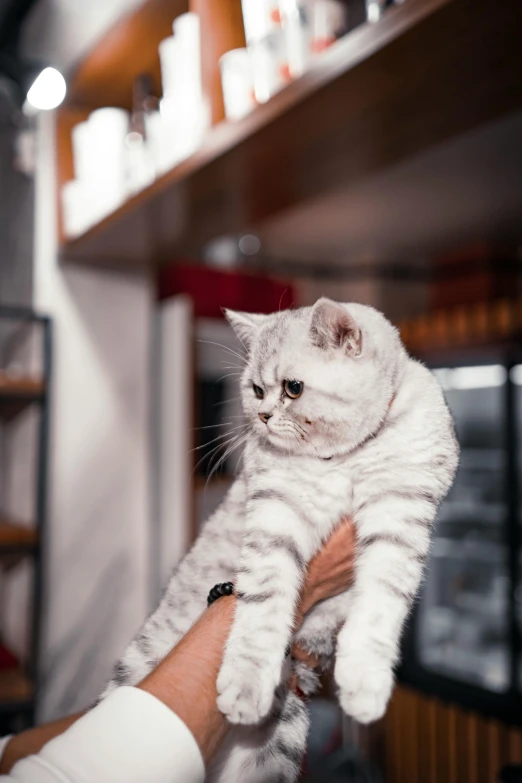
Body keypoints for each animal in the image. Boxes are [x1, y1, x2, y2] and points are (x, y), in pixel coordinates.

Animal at [101, 298, 456, 780]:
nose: (264, 416)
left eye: (293, 388)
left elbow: (380, 609)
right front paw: (246, 683)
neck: (343, 458)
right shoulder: (277, 515)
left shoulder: (399, 517)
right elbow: (263, 607)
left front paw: (364, 684)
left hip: (280, 744)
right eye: (255, 389)